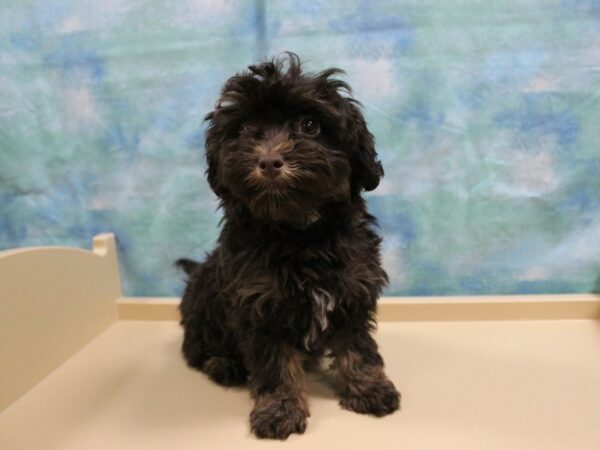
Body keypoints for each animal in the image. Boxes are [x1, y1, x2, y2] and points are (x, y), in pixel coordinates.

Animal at [178, 52, 404, 440]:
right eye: (242, 130)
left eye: (310, 125)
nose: (269, 161)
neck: (299, 234)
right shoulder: (259, 304)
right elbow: (275, 365)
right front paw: (279, 409)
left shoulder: (353, 290)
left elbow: (357, 347)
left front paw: (369, 388)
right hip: (203, 298)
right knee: (196, 348)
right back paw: (223, 364)